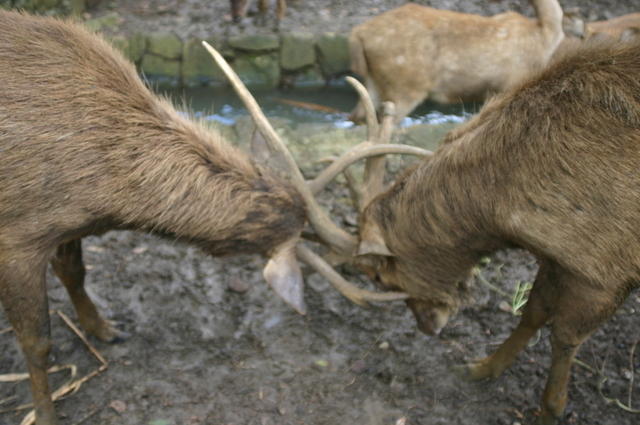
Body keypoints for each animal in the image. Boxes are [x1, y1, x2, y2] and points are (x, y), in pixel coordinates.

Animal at [0, 8, 430, 422]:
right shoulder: (17, 237)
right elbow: (37, 341)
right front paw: (45, 414)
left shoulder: (65, 223)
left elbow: (74, 271)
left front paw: (105, 329)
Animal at [350, 0, 564, 122]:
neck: (544, 36)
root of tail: (358, 33)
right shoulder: (511, 82)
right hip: (405, 84)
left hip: (375, 82)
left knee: (359, 116)